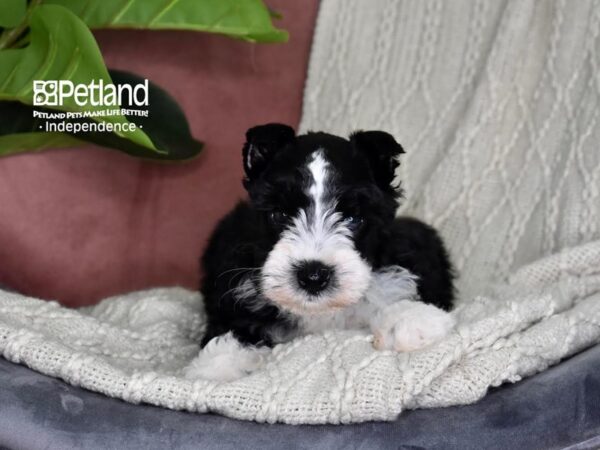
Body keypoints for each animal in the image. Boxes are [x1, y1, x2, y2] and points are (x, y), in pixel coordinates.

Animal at [183, 125, 454, 382]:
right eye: (280, 214)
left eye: (353, 218)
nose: (313, 276)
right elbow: (233, 331)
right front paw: (217, 365)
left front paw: (410, 320)